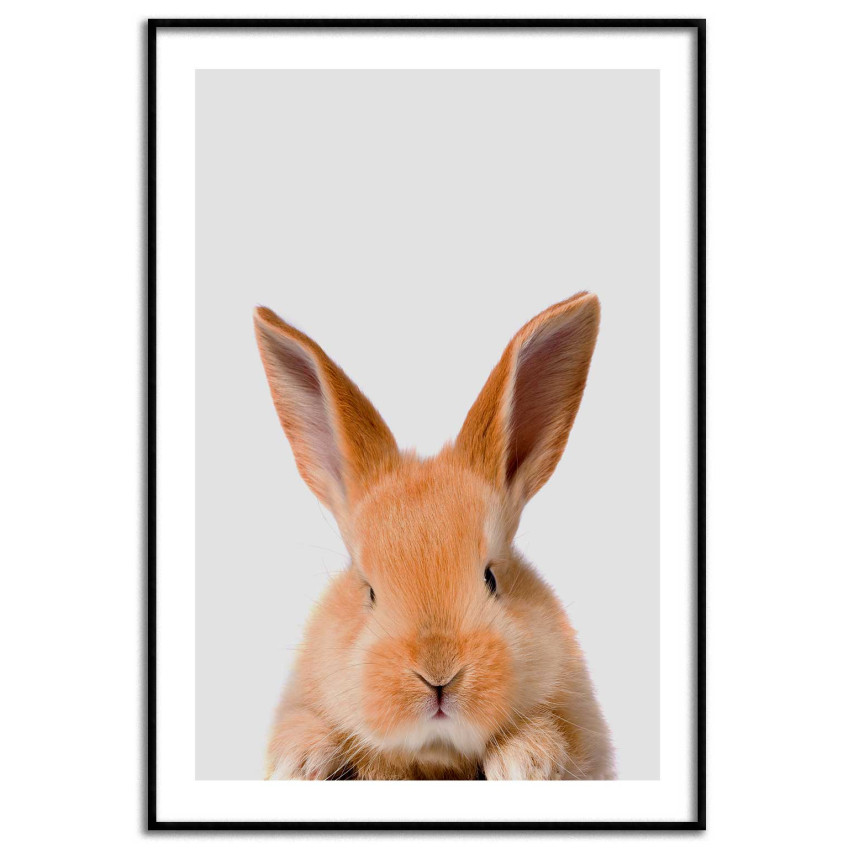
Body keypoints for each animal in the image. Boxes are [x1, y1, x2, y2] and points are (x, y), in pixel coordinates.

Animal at [254, 292, 615, 780]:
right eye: (368, 591)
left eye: (491, 578)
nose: (438, 675)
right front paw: (299, 761)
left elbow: (561, 734)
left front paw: (525, 759)